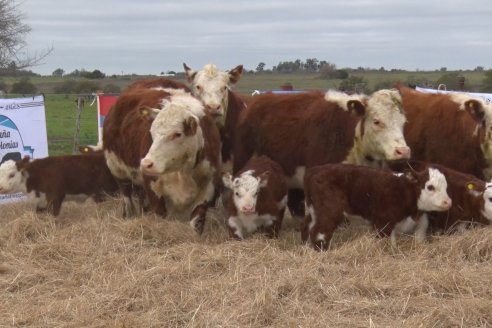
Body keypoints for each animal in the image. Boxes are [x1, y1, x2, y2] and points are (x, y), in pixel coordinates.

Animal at [102, 86, 221, 234]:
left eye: (177, 134)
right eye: (151, 132)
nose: (146, 164)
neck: (183, 170)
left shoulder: (208, 185)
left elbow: (196, 221)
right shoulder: (152, 185)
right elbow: (160, 215)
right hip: (117, 170)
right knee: (127, 196)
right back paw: (128, 214)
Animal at [302, 164, 452, 251]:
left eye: (446, 187)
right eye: (430, 187)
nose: (448, 202)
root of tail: (314, 170)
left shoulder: (420, 220)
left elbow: (419, 236)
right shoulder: (383, 222)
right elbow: (387, 244)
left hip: (312, 211)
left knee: (306, 227)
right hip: (329, 211)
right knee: (318, 231)